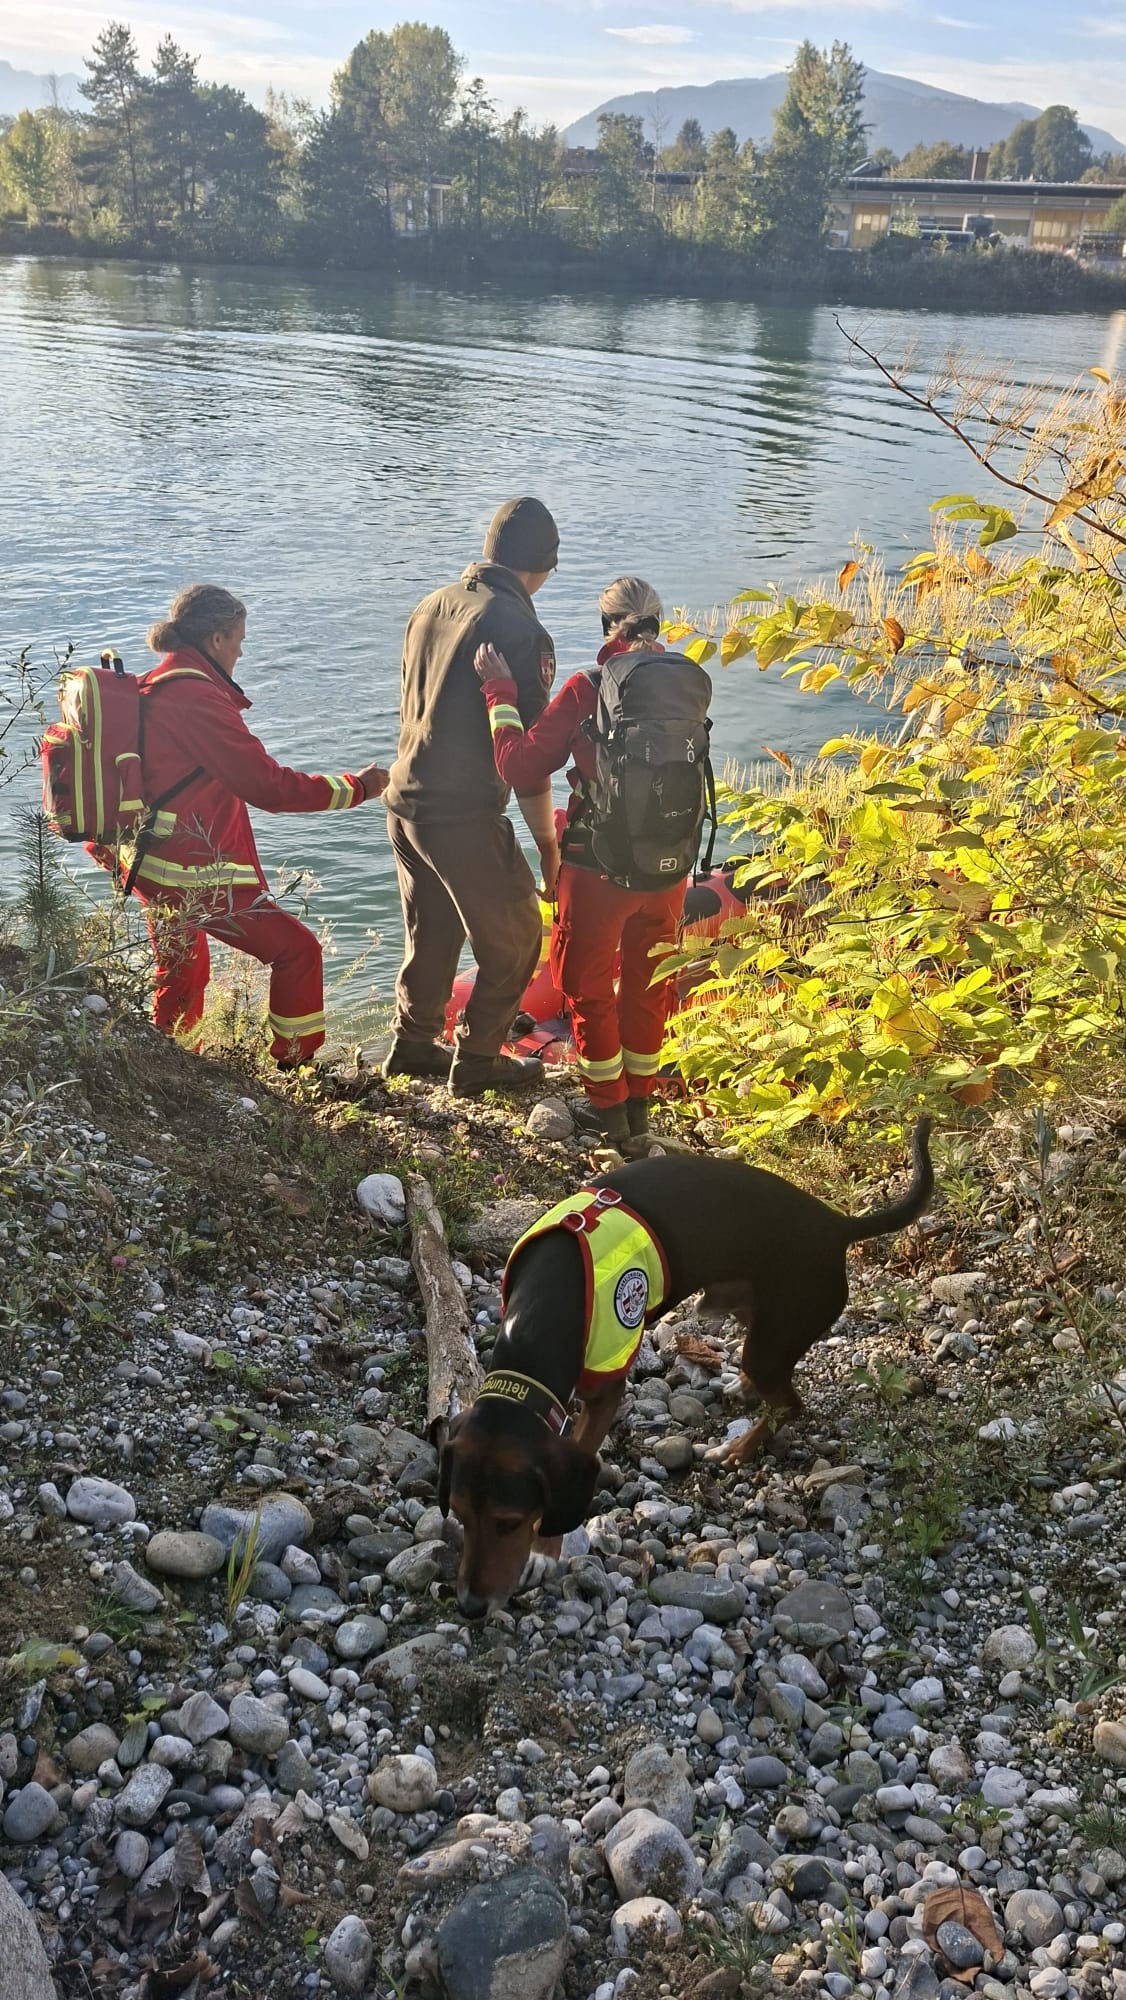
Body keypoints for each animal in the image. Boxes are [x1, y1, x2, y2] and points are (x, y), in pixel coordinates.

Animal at [439, 1117, 933, 1617]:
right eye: (458, 1513)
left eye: (510, 1522)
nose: (470, 1607)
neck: (549, 1304)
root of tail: (836, 1225)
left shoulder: (604, 1393)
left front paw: (544, 1551)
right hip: (750, 1311)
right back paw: (744, 1390)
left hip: (775, 1331)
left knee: (790, 1403)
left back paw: (739, 1449)